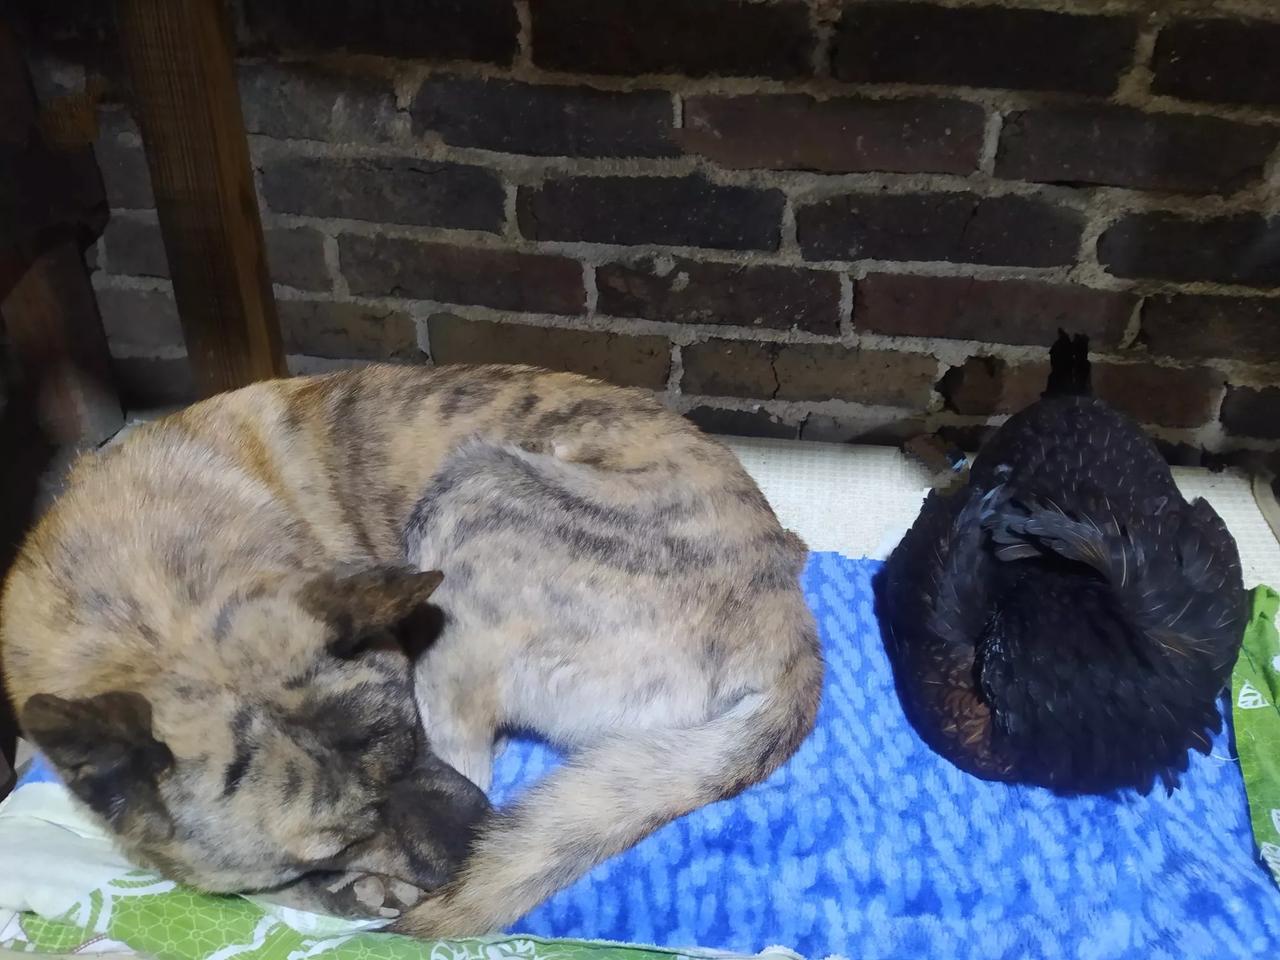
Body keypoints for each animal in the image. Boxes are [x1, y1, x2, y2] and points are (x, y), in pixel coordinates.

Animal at [1, 363, 822, 936]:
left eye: (409, 736)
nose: (479, 844)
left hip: (470, 488)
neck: (144, 592)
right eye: (339, 837)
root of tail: (791, 639)